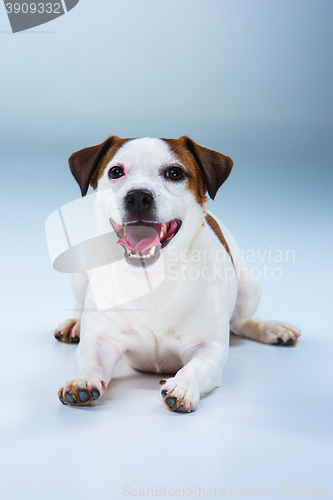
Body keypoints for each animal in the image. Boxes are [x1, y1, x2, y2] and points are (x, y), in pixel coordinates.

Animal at [55, 135, 300, 412]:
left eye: (175, 173)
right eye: (116, 172)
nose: (138, 196)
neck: (151, 277)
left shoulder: (209, 348)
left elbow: (195, 367)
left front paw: (182, 385)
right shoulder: (101, 340)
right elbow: (92, 359)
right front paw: (84, 380)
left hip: (250, 287)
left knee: (241, 320)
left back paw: (271, 328)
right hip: (80, 273)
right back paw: (75, 323)